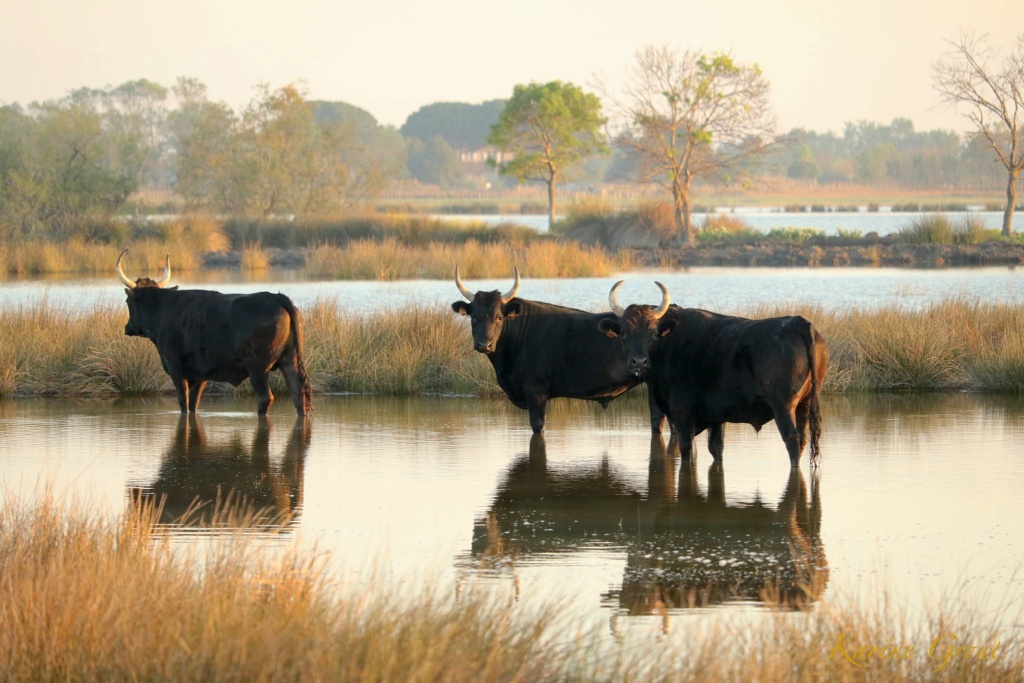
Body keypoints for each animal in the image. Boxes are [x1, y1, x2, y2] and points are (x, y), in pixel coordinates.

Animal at [116, 249, 311, 417]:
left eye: (127, 302)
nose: (127, 328)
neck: (164, 309)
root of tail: (276, 297)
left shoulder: (175, 367)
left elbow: (183, 401)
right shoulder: (200, 374)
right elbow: (194, 403)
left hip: (258, 368)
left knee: (265, 397)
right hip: (290, 360)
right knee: (299, 394)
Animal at [598, 280, 831, 466]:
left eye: (654, 333)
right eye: (624, 333)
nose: (639, 361)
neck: (670, 343)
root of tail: (799, 323)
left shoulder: (683, 415)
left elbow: (686, 451)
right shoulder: (717, 415)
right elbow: (716, 448)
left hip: (783, 406)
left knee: (792, 440)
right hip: (805, 404)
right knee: (803, 439)